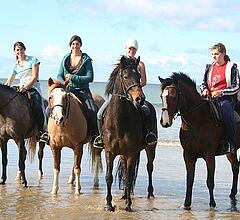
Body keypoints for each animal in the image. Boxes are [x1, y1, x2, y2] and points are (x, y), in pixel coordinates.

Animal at [102, 55, 158, 212]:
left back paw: (149, 193)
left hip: (150, 148)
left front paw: (128, 205)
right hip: (123, 155)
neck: (119, 122)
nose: (140, 99)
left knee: (149, 168)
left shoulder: (131, 153)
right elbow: (109, 177)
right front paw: (109, 204)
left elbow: (128, 177)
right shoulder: (109, 152)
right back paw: (123, 196)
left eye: (139, 76)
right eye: (125, 76)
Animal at [158, 72, 239, 210]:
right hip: (231, 152)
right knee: (235, 166)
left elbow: (210, 181)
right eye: (161, 96)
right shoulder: (188, 155)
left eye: (173, 96)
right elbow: (189, 180)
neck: (197, 121)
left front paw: (212, 204)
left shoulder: (209, 155)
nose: (165, 122)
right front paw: (186, 204)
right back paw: (232, 193)